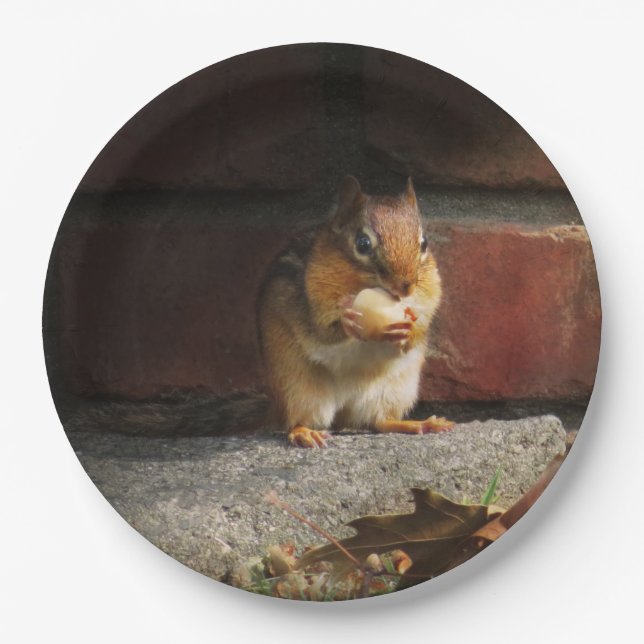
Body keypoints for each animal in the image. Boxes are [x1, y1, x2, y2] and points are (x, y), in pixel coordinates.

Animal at [258, 176, 454, 448]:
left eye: (423, 243)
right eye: (363, 244)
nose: (405, 286)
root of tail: (344, 412)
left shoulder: (429, 296)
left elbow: (422, 324)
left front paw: (411, 329)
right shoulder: (313, 301)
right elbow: (323, 331)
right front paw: (347, 320)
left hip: (395, 389)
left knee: (380, 422)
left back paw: (420, 424)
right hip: (297, 386)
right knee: (296, 420)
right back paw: (304, 432)